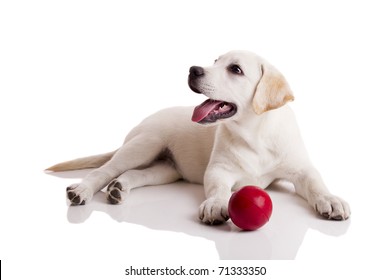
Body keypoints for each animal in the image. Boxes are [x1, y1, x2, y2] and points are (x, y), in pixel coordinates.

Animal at [46, 50, 350, 223]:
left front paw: (330, 199)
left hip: (165, 170)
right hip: (145, 144)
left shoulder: (301, 169)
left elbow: (316, 182)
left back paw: (119, 188)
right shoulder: (218, 170)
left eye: (235, 69)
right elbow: (219, 188)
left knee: (133, 174)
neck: (254, 133)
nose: (193, 69)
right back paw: (82, 190)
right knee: (104, 171)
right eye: (215, 61)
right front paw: (216, 204)